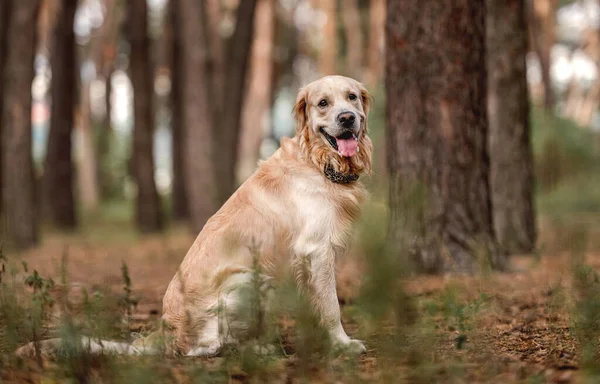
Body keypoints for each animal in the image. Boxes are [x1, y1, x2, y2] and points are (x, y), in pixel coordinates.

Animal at [16, 74, 372, 356]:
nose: (347, 118)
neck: (318, 162)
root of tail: (166, 330)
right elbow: (331, 306)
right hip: (248, 278)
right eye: (323, 103)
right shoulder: (316, 251)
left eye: (352, 97)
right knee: (203, 349)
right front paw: (343, 344)